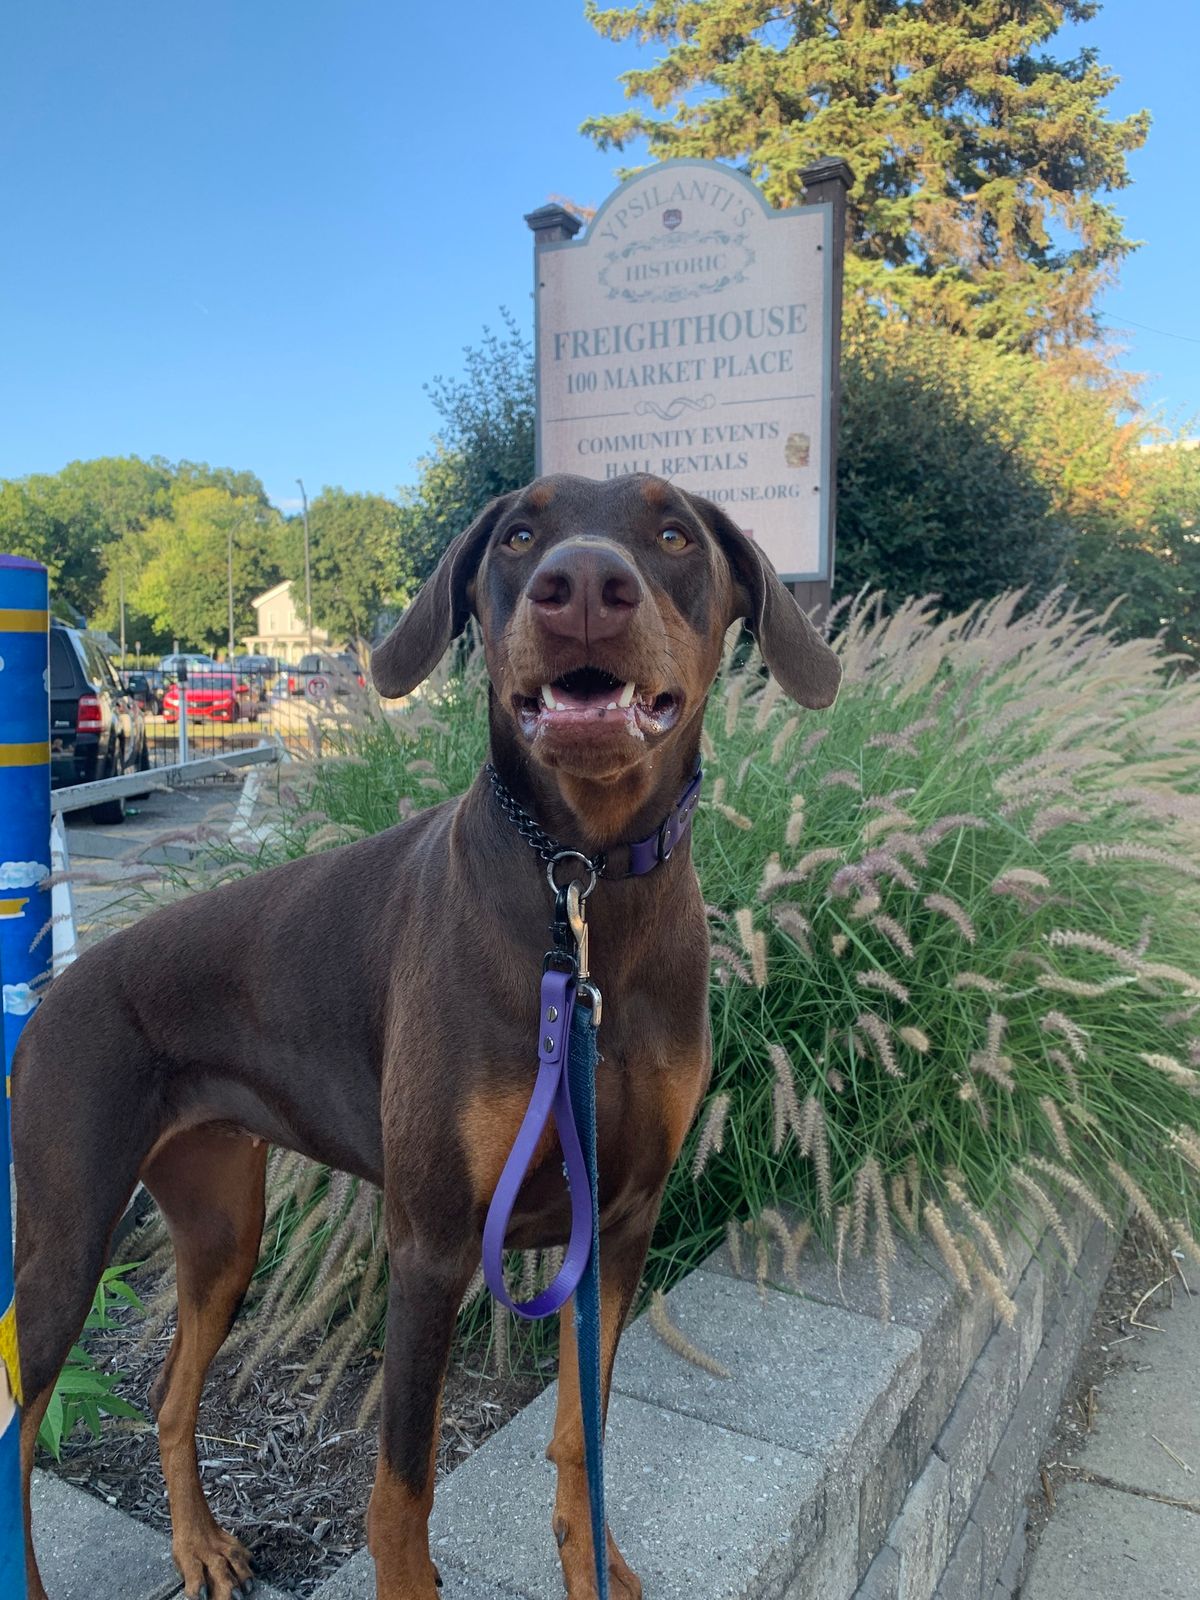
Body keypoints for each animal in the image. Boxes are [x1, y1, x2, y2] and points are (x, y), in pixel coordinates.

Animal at [14, 467, 838, 1593]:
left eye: (674, 534)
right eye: (520, 534)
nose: (583, 585)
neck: (581, 886)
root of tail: (57, 990)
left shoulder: (622, 1222)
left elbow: (582, 1433)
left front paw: (596, 1562)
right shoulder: (434, 1244)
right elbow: (400, 1495)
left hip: (223, 1226)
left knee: (171, 1389)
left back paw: (201, 1545)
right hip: (66, 1239)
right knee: (17, 1432)